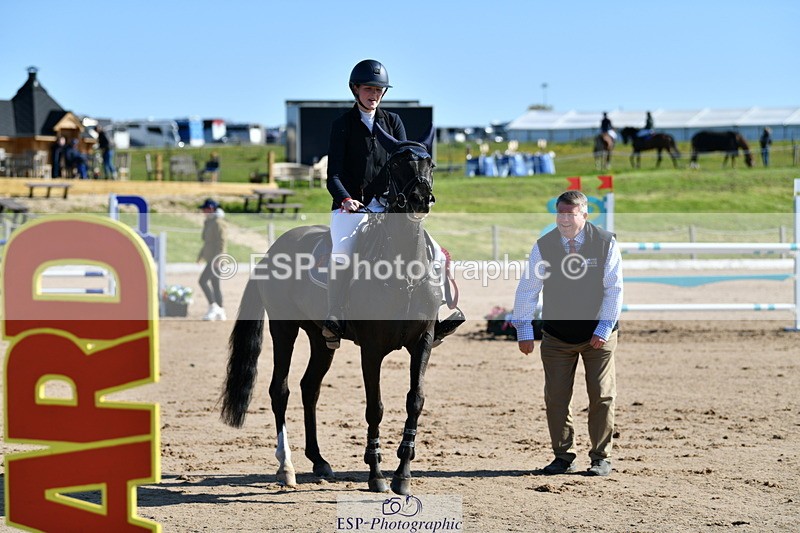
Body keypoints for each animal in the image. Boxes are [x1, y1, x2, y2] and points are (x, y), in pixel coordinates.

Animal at [221, 124, 451, 496]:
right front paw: (376, 475)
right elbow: (375, 408)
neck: (403, 266)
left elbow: (415, 400)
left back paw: (319, 461)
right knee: (280, 390)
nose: (419, 198)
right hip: (284, 329)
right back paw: (286, 468)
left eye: (429, 163)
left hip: (320, 337)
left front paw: (402, 475)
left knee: (309, 387)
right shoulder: (371, 349)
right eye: (396, 164)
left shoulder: (423, 342)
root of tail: (273, 249)